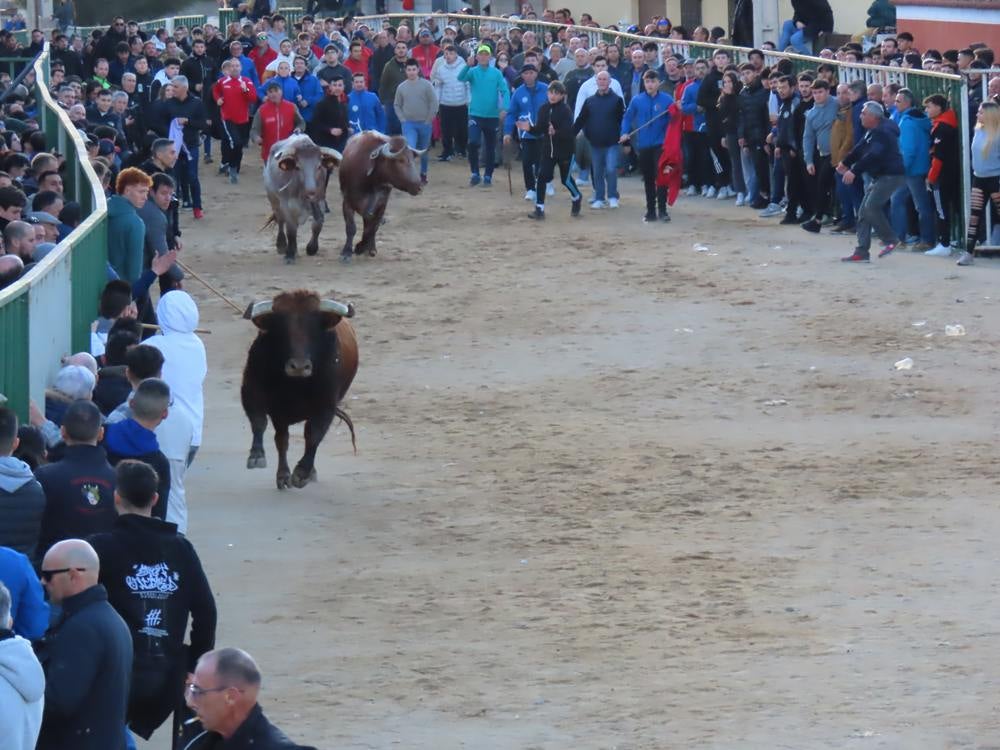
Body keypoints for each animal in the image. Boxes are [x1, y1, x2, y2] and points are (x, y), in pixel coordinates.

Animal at [241, 290, 360, 490]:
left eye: (314, 330)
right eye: (280, 329)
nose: (299, 366)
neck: (295, 385)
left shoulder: (325, 406)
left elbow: (313, 436)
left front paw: (302, 472)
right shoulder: (252, 392)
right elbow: (259, 423)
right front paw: (256, 456)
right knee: (282, 440)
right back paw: (282, 475)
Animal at [338, 134, 424, 262]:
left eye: (413, 159)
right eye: (400, 160)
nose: (419, 187)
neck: (371, 182)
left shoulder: (381, 205)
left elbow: (372, 228)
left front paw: (361, 247)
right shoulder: (347, 202)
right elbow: (351, 228)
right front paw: (346, 252)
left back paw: (371, 248)